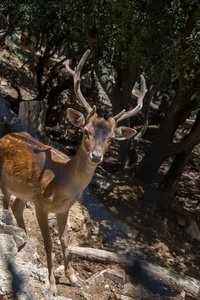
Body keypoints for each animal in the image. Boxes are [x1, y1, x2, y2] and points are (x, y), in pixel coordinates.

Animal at [0, 49, 147, 296]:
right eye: (86, 131)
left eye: (110, 139)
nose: (96, 155)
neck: (62, 185)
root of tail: (4, 135)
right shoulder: (41, 204)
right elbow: (49, 242)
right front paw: (51, 285)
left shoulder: (64, 208)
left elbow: (65, 241)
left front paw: (74, 278)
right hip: (5, 183)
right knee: (6, 207)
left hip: (24, 192)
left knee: (16, 207)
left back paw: (24, 239)